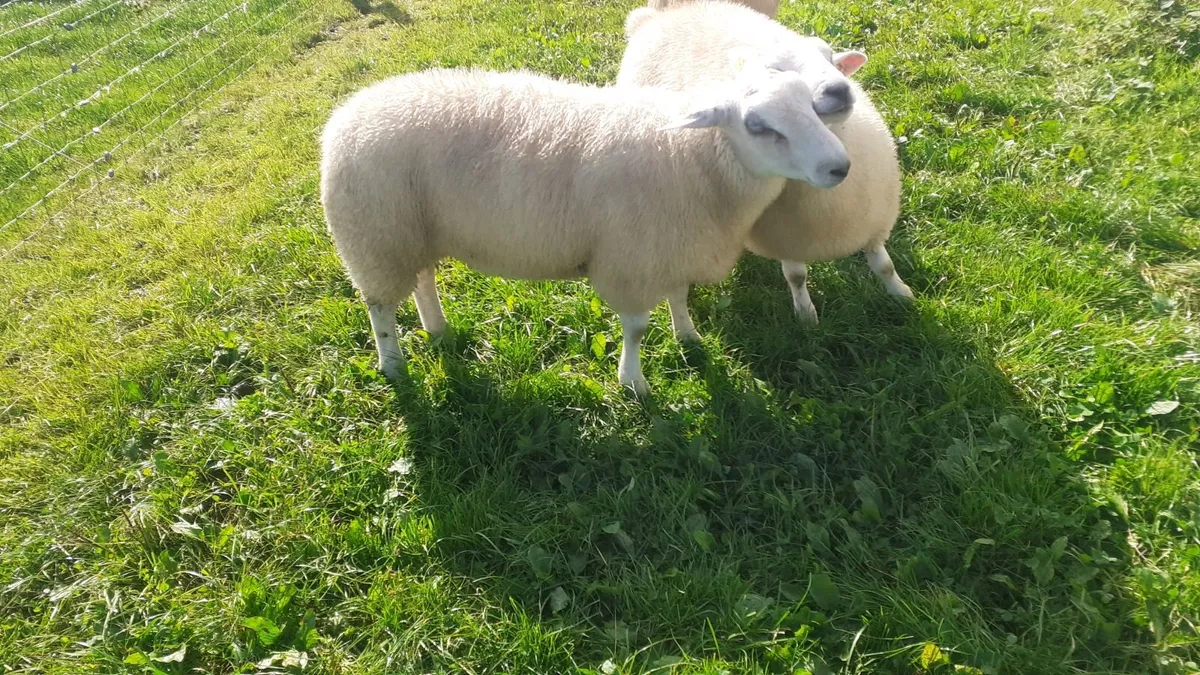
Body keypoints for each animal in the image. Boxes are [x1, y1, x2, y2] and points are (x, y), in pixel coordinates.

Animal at [319, 66, 850, 395]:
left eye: (810, 105)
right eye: (758, 125)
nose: (840, 167)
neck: (693, 158)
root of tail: (347, 114)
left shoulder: (670, 242)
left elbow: (678, 296)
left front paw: (689, 338)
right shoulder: (633, 258)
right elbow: (637, 328)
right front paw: (634, 382)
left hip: (412, 230)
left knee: (423, 279)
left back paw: (437, 328)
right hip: (375, 235)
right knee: (380, 307)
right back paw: (393, 364)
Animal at [618, 1, 912, 334]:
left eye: (830, 58)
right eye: (777, 71)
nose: (839, 89)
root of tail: (666, 13)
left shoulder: (874, 218)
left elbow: (884, 264)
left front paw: (902, 295)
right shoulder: (789, 236)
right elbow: (797, 277)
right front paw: (806, 315)